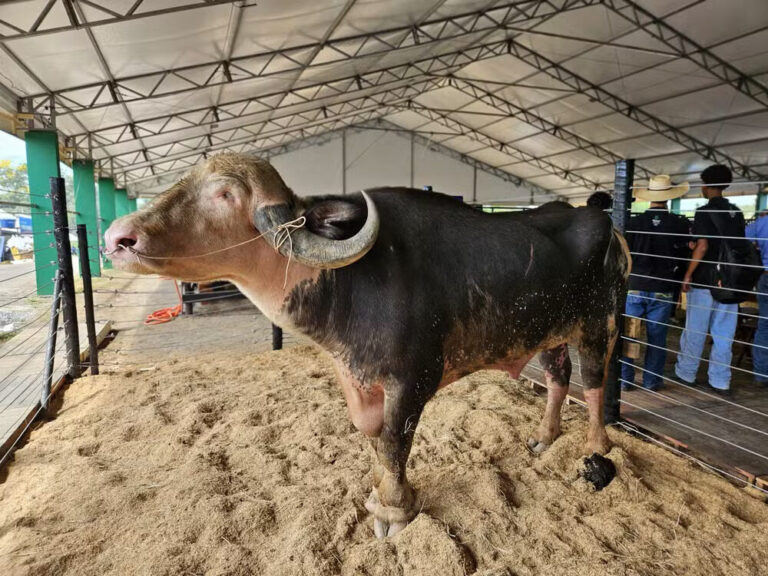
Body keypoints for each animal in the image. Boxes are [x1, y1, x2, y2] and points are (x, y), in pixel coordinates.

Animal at [105, 153, 630, 538]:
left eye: (224, 193)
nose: (117, 238)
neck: (351, 281)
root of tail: (603, 221)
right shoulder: (357, 378)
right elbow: (374, 440)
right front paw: (378, 494)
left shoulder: (412, 380)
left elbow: (396, 441)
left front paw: (395, 511)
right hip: (549, 331)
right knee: (559, 376)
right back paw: (544, 437)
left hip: (598, 325)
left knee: (595, 382)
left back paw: (596, 449)